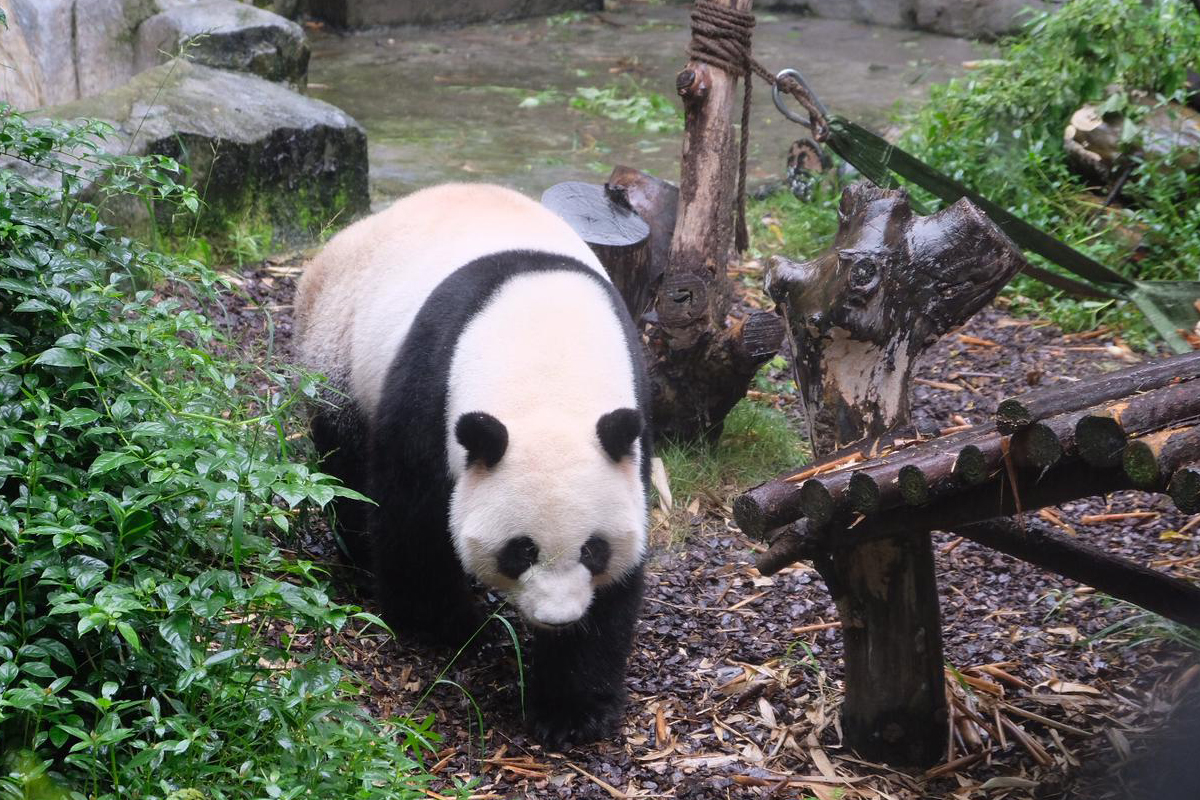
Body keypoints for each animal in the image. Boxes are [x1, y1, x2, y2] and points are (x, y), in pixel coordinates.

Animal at [294, 184, 652, 748]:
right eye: (521, 551)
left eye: (593, 550)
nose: (558, 617)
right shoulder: (430, 387)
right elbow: (413, 517)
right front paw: (444, 625)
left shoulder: (633, 418)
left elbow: (620, 582)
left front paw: (572, 709)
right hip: (336, 342)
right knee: (345, 464)